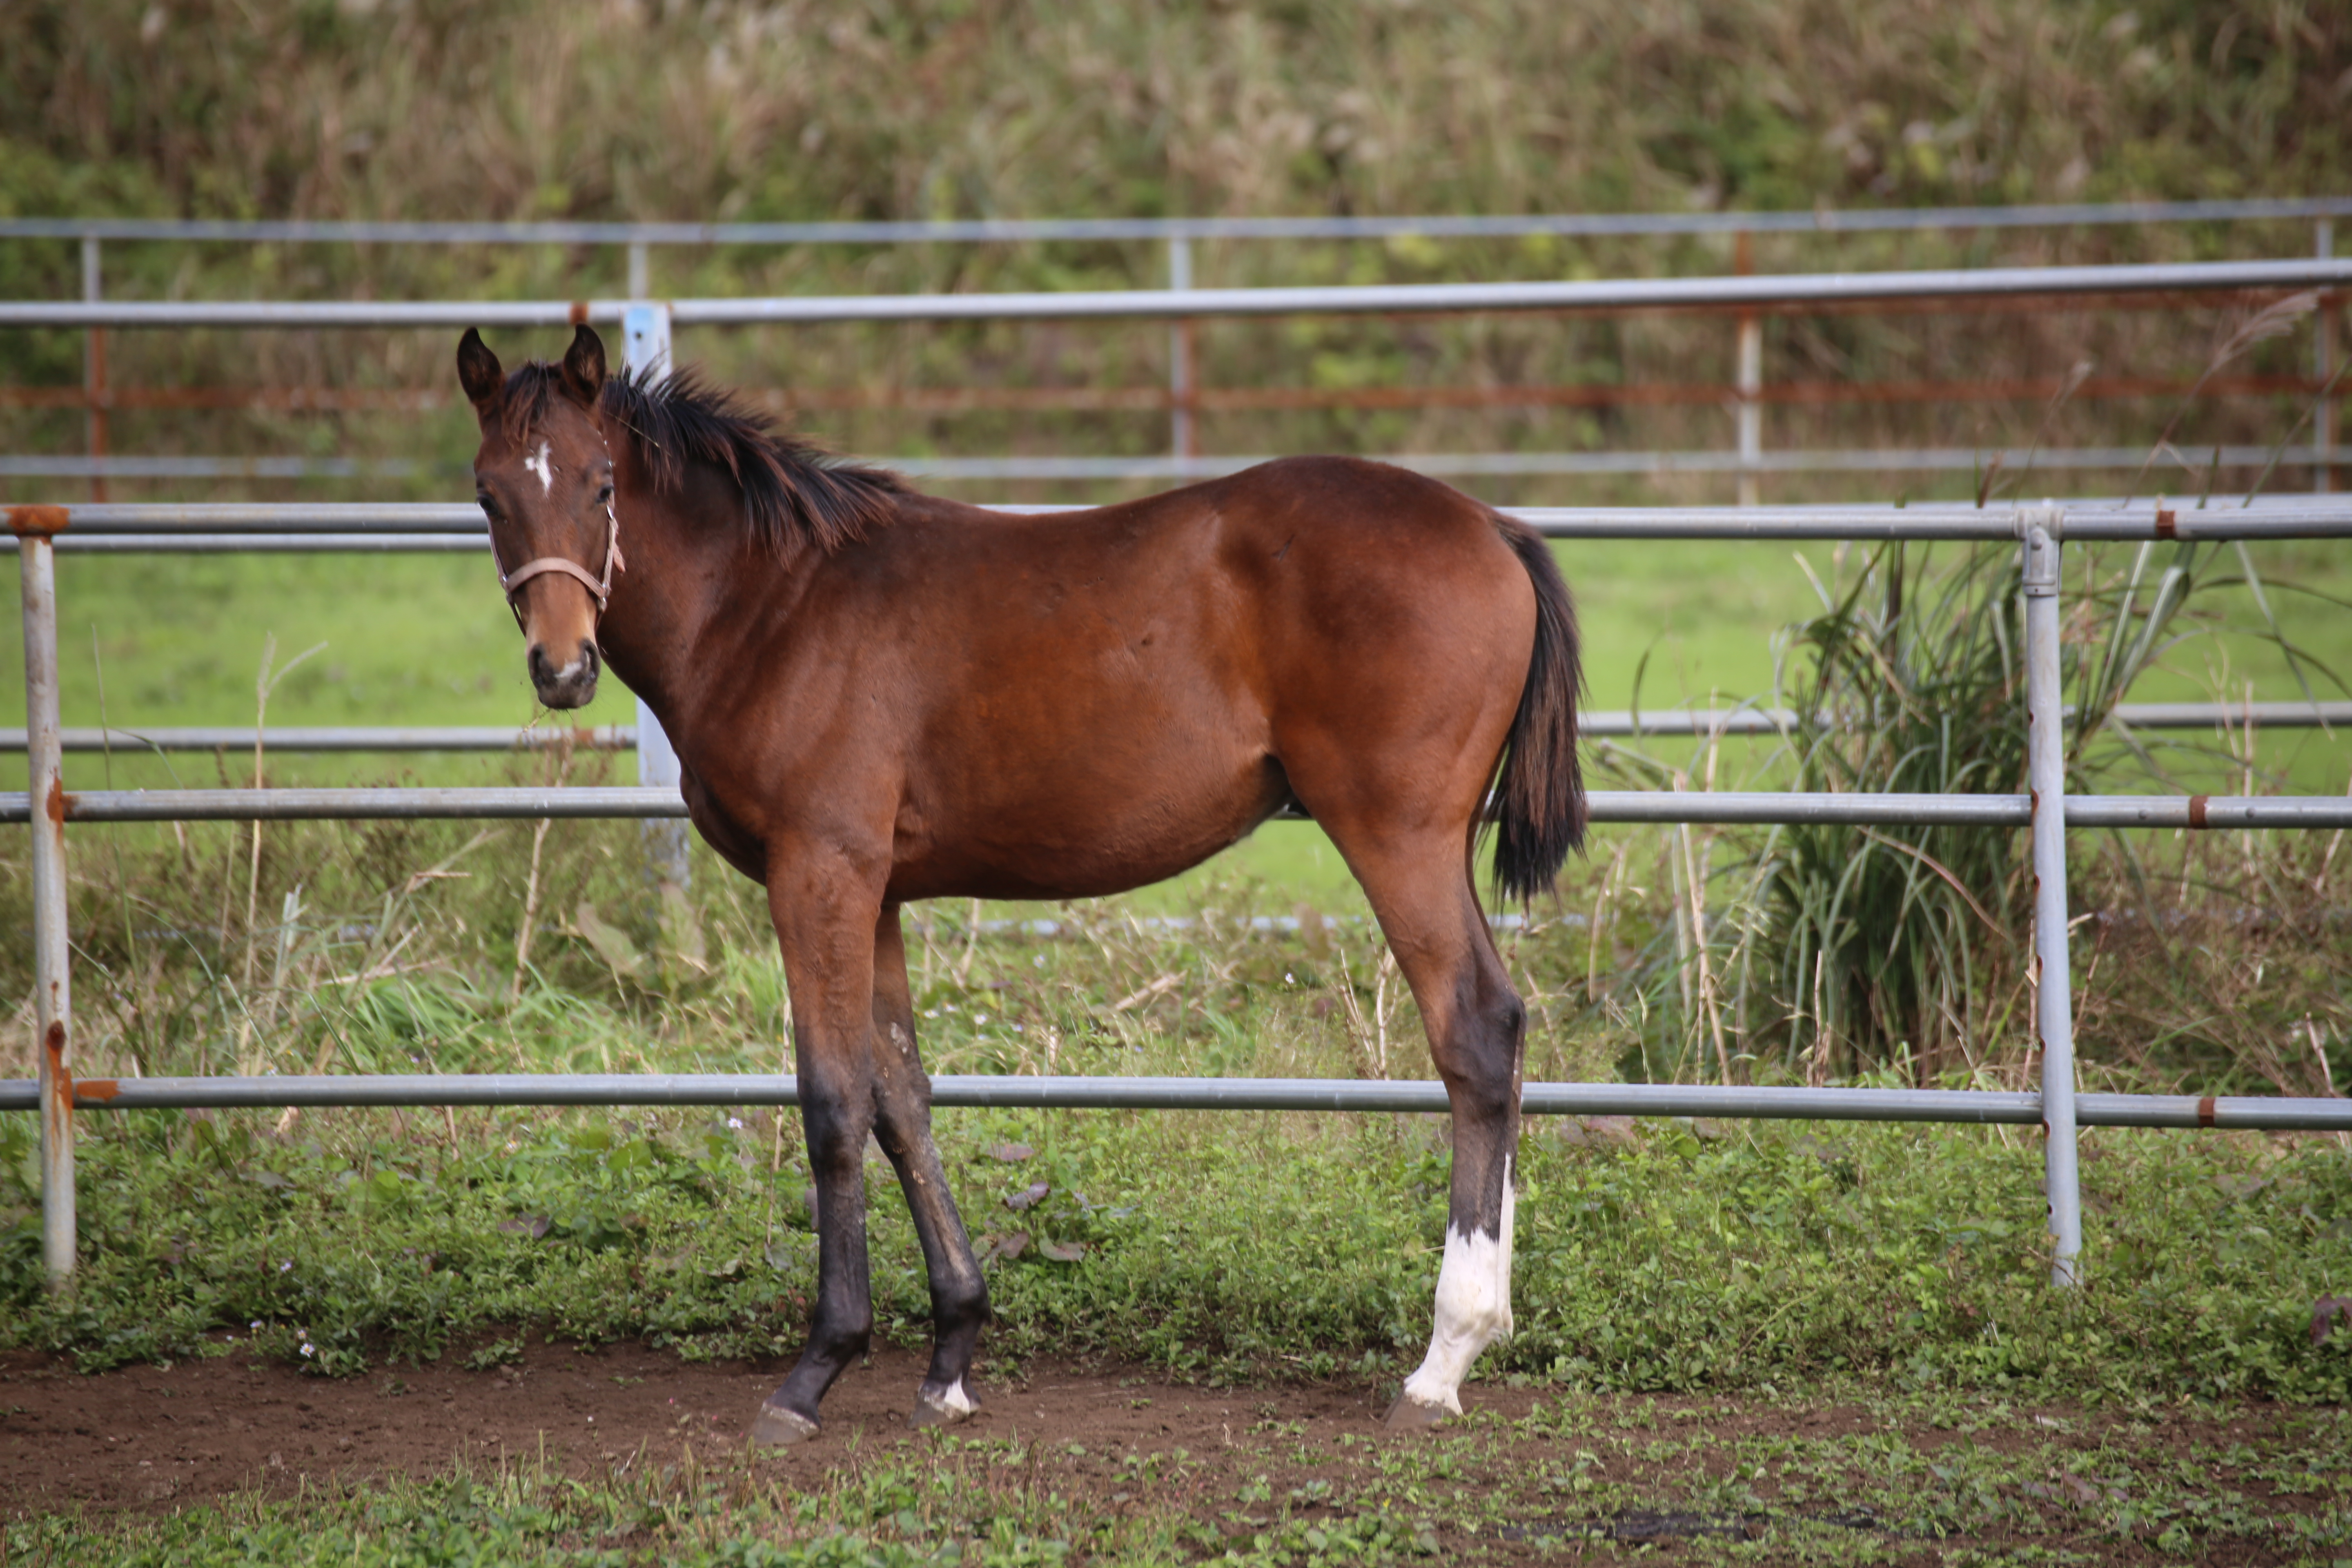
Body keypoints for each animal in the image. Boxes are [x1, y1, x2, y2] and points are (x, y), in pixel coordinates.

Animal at [454, 324, 1580, 1439]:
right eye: (488, 493)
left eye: (601, 483)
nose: (563, 666)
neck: (772, 606)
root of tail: (1491, 527)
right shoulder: (876, 892)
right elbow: (900, 1098)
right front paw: (950, 1356)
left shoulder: (818, 872)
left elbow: (832, 1103)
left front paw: (816, 1370)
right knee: (1503, 1029)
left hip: (1396, 834)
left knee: (1475, 1032)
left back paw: (1441, 1362)